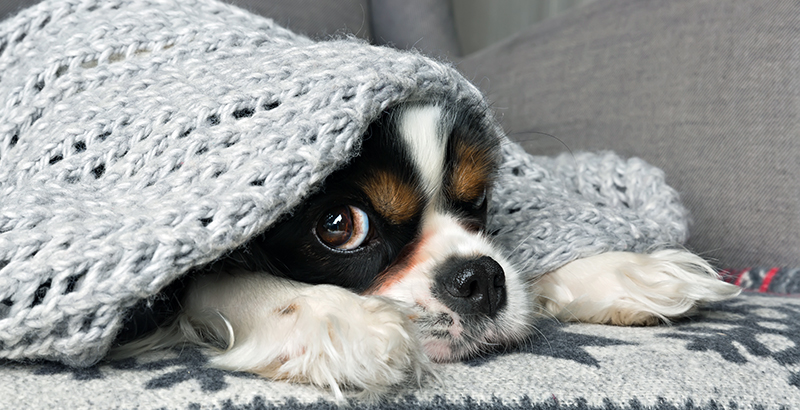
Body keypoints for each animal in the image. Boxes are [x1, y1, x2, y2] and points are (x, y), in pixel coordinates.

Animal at [0, 0, 688, 366]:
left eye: (480, 201)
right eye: (339, 226)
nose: (478, 279)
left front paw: (626, 270)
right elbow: (211, 278)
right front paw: (330, 316)